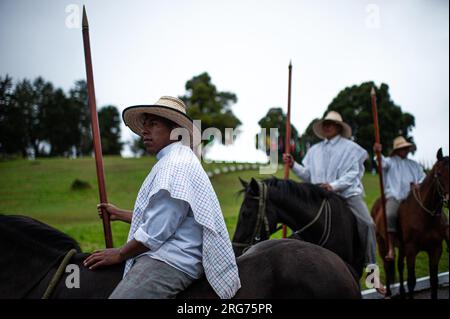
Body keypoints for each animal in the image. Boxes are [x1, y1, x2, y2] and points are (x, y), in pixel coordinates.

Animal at [370, 149, 448, 298]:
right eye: (440, 174)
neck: (425, 216)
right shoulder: (411, 250)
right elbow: (411, 281)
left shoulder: (436, 249)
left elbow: (434, 280)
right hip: (381, 242)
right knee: (387, 265)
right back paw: (388, 292)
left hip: (401, 247)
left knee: (400, 265)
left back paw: (401, 291)